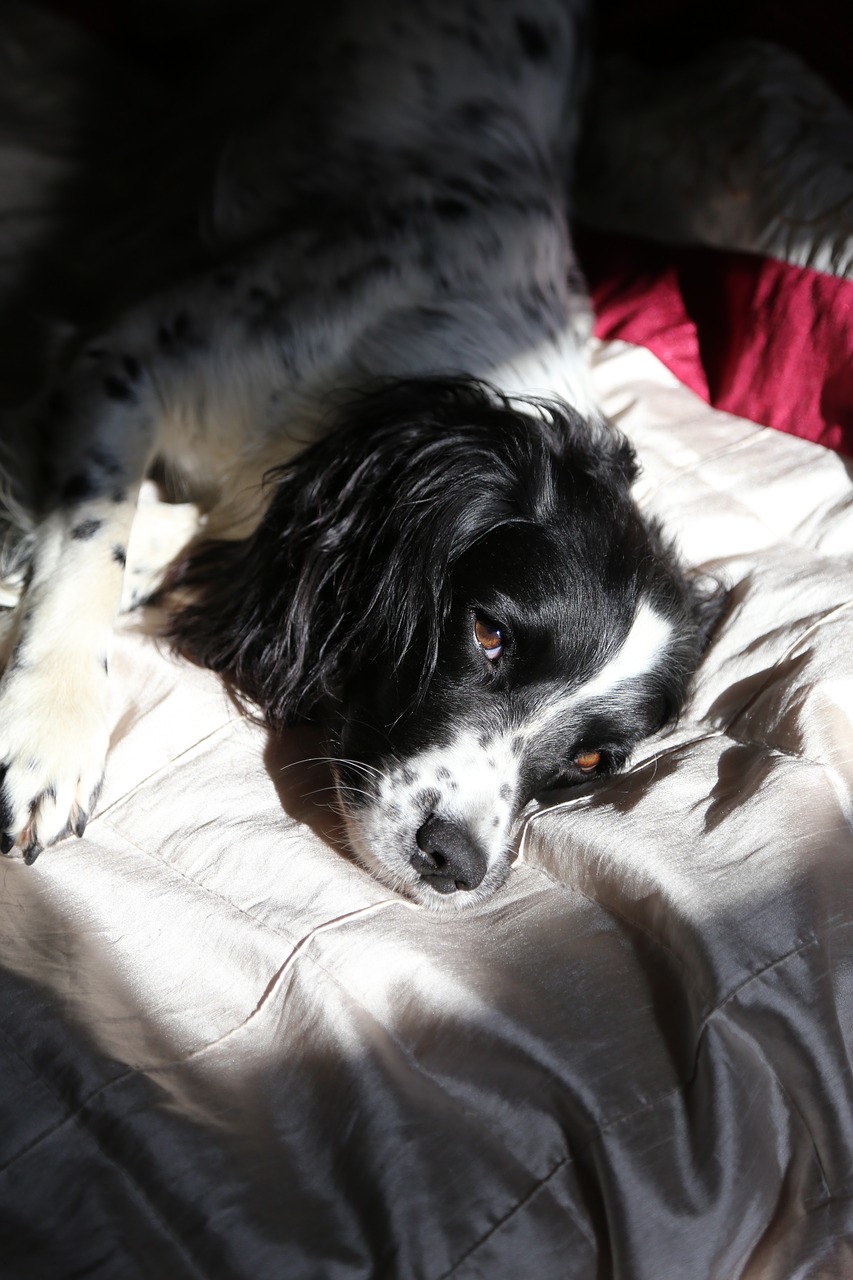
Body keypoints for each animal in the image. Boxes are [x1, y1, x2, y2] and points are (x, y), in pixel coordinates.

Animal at [0, 0, 722, 906]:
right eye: (487, 632)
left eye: (590, 760)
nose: (454, 862)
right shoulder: (126, 361)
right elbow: (94, 537)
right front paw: (51, 729)